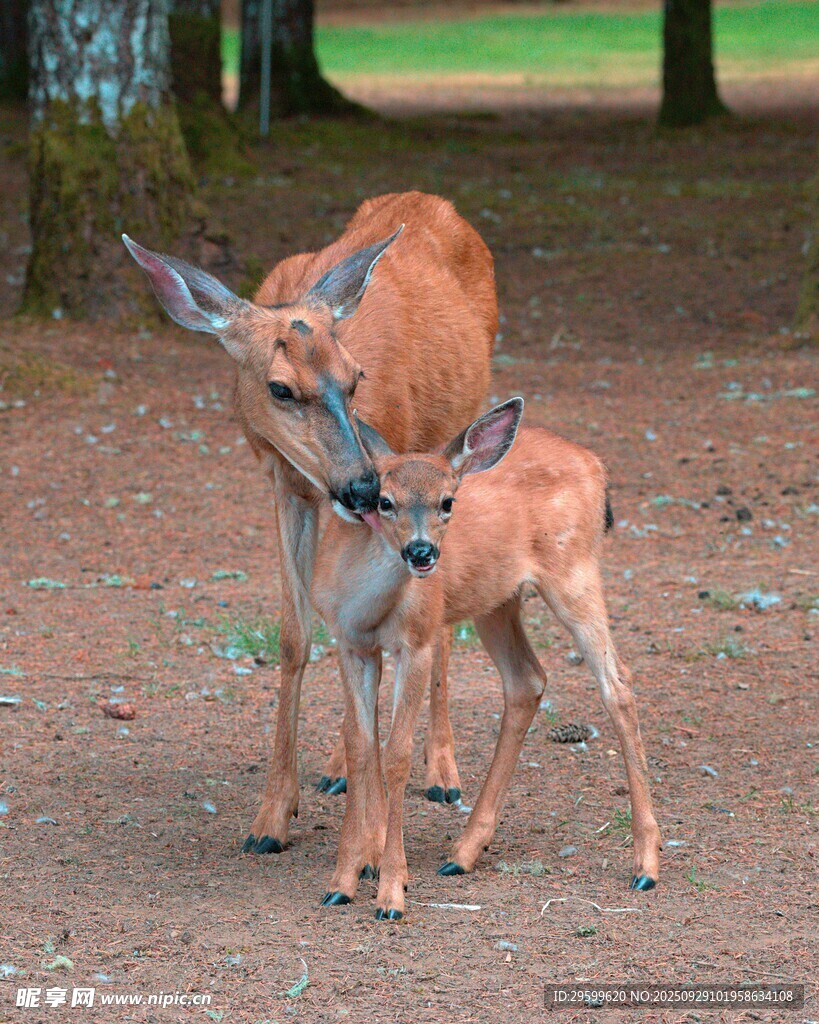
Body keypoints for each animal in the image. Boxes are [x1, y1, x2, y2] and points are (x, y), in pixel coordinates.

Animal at [123, 192, 496, 856]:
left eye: (355, 378)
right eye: (279, 388)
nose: (362, 486)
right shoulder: (282, 484)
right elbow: (296, 637)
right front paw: (272, 816)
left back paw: (442, 773)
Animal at [311, 398, 662, 920]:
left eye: (447, 502)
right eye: (384, 501)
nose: (421, 552)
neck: (367, 603)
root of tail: (596, 465)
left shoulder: (418, 639)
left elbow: (397, 754)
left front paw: (391, 892)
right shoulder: (349, 644)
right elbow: (360, 746)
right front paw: (342, 881)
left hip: (573, 572)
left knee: (616, 683)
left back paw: (646, 866)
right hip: (498, 601)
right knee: (527, 680)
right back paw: (462, 853)